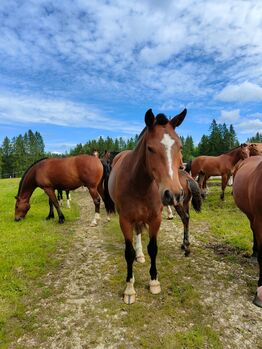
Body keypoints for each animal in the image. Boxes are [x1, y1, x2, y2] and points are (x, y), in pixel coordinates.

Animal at [107, 107, 187, 304]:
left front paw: (154, 281)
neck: (139, 184)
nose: (173, 194)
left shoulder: (155, 219)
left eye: (180, 147)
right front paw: (129, 288)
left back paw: (140, 255)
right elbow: (128, 252)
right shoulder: (125, 220)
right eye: (150, 148)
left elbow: (153, 248)